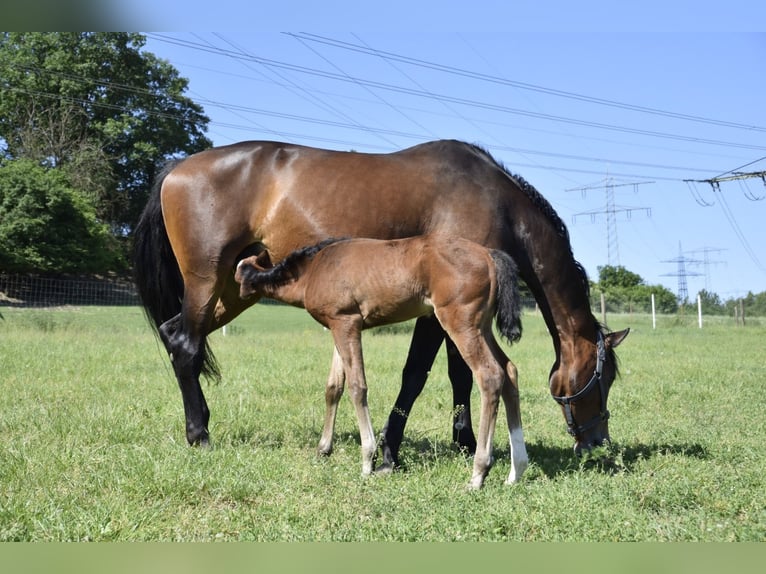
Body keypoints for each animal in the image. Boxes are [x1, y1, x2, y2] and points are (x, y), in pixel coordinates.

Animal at [234, 234, 527, 489]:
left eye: (237, 277)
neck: (315, 268)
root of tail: (489, 254)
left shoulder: (347, 322)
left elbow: (357, 387)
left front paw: (367, 460)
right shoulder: (337, 326)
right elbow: (334, 388)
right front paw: (323, 449)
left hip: (460, 323)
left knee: (490, 375)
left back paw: (478, 474)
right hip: (482, 327)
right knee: (509, 371)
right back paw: (516, 471)